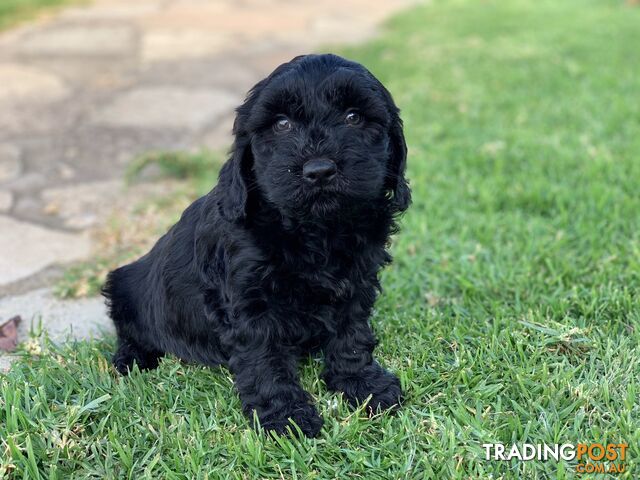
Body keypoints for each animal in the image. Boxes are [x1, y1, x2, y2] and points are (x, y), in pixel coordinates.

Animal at [102, 53, 408, 438]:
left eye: (353, 117)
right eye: (281, 124)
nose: (319, 171)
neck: (313, 230)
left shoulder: (356, 281)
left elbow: (351, 334)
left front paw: (363, 385)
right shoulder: (249, 301)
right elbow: (265, 358)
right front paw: (286, 416)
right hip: (125, 285)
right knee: (128, 329)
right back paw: (132, 359)